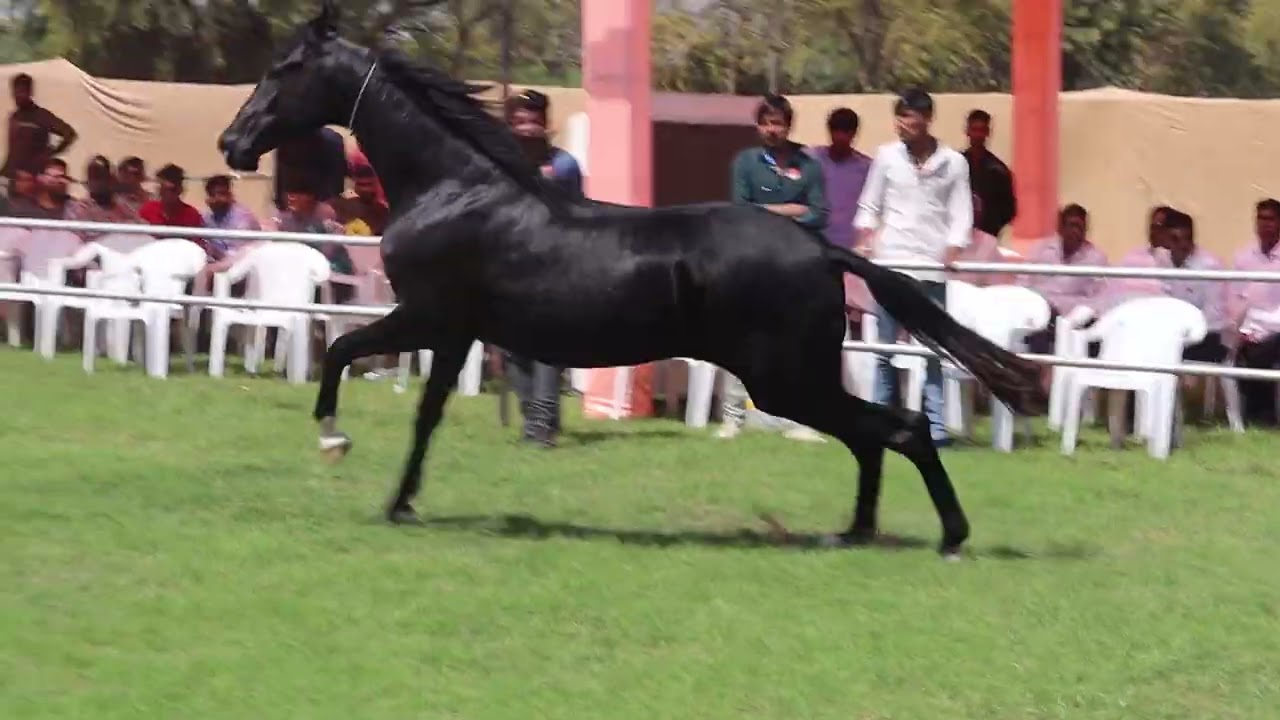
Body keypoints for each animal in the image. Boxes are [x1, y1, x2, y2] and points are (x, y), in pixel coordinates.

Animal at [216, 2, 1044, 558]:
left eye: (284, 70)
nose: (232, 142)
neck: (453, 188)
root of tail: (822, 249)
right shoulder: (456, 334)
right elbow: (425, 414)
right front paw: (401, 503)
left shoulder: (426, 317)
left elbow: (339, 353)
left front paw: (336, 441)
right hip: (793, 379)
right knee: (874, 436)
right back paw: (853, 531)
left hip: (783, 379)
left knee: (899, 428)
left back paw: (946, 536)